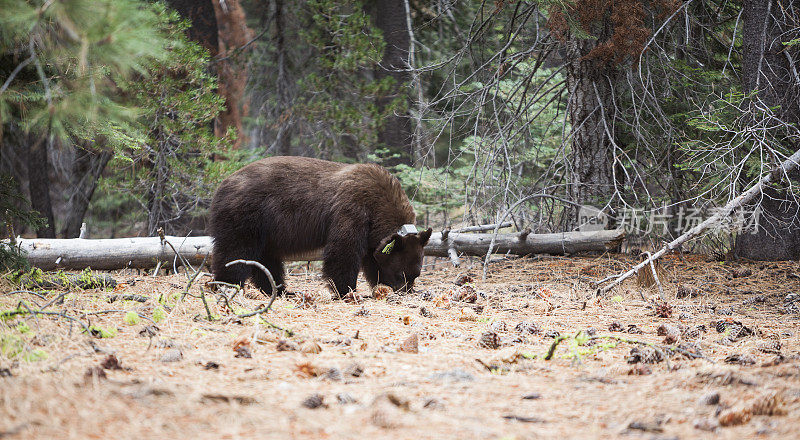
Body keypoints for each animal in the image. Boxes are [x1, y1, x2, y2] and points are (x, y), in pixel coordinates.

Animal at [206, 155, 432, 296]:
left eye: (416, 274)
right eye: (401, 273)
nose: (405, 291)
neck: (378, 208)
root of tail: (221, 185)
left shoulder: (372, 235)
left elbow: (372, 259)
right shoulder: (352, 209)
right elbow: (343, 251)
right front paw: (346, 290)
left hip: (266, 231)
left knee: (267, 260)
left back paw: (280, 290)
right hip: (246, 216)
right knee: (235, 251)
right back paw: (227, 284)